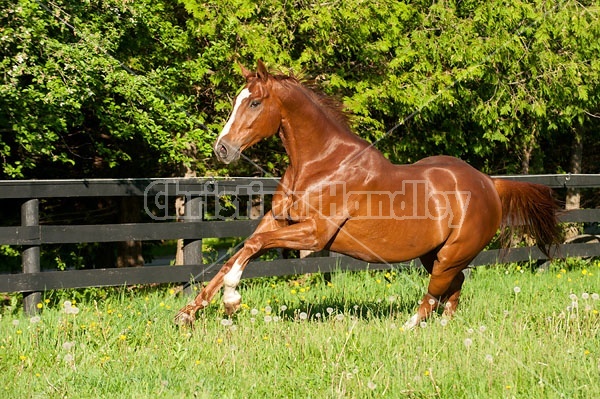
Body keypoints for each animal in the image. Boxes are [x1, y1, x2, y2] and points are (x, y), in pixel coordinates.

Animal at [175, 61, 564, 330]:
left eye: (254, 103)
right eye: (237, 101)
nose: (222, 149)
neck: (320, 164)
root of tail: (490, 183)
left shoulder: (315, 234)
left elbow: (252, 249)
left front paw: (231, 299)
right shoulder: (277, 221)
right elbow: (238, 253)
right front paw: (187, 313)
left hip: (452, 254)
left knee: (436, 291)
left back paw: (408, 327)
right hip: (435, 254)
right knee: (454, 288)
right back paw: (443, 327)